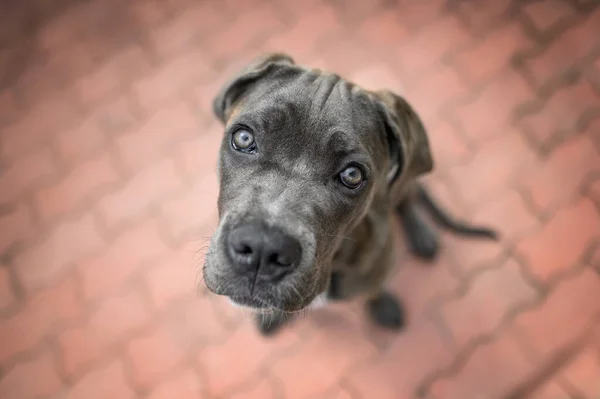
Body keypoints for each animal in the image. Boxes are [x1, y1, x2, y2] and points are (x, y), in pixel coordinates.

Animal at [203, 52, 496, 334]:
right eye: (244, 138)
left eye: (352, 175)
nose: (262, 249)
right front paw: (272, 317)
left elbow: (375, 289)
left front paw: (383, 306)